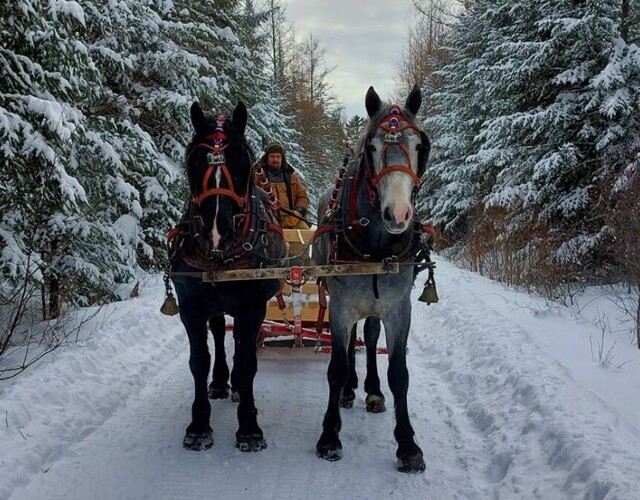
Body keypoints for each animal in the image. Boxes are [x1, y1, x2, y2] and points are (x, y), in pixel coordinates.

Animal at [169, 101, 284, 454]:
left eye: (241, 160)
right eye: (193, 161)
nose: (217, 230)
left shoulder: (252, 306)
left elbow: (247, 363)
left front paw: (249, 428)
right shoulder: (191, 306)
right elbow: (199, 361)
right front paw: (199, 426)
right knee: (220, 331)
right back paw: (221, 381)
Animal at [314, 86, 430, 472]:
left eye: (419, 145)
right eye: (373, 147)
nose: (398, 214)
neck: (376, 247)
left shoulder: (398, 308)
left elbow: (399, 373)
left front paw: (407, 444)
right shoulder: (341, 306)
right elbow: (336, 367)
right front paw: (330, 436)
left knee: (370, 334)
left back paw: (373, 391)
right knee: (352, 342)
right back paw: (351, 389)